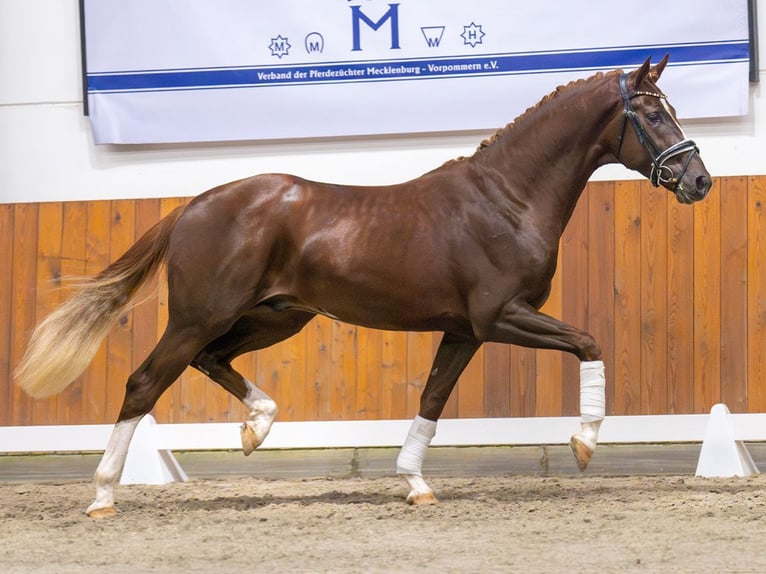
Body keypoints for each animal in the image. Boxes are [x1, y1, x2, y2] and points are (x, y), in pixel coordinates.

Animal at [16, 56, 712, 520]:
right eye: (653, 112)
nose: (698, 181)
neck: (507, 200)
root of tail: (193, 206)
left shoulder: (464, 330)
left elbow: (432, 399)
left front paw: (415, 485)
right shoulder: (499, 316)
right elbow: (589, 342)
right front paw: (584, 445)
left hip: (276, 316)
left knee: (211, 361)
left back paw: (256, 428)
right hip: (199, 316)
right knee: (144, 382)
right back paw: (104, 494)